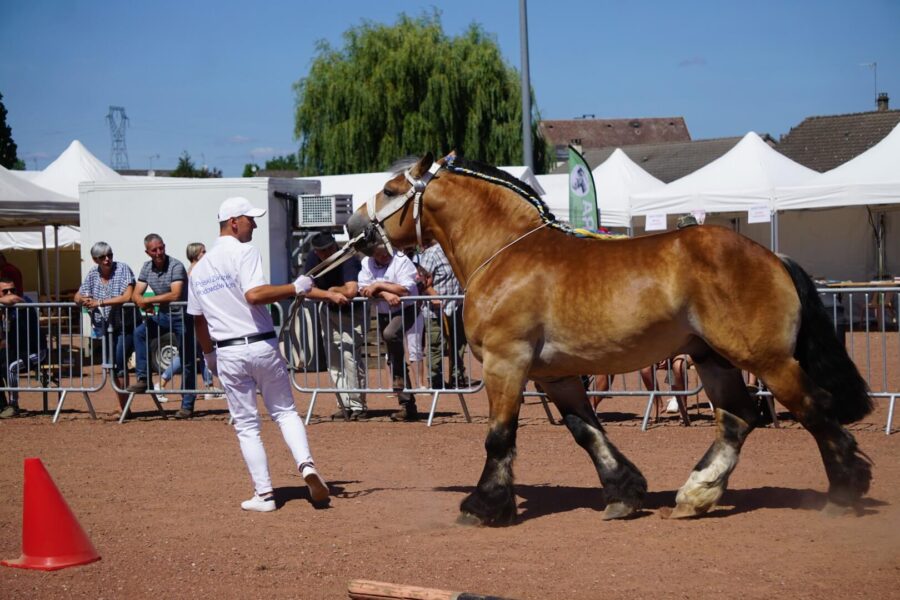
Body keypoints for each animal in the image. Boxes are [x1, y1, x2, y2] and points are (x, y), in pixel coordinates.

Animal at [346, 154, 872, 524]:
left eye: (391, 189)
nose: (352, 227)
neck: (506, 254)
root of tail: (773, 256)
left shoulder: (505, 363)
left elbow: (499, 437)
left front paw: (482, 506)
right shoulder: (554, 376)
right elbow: (587, 431)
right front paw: (624, 494)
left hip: (767, 360)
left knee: (813, 408)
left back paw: (844, 492)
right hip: (713, 357)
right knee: (739, 418)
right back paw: (696, 494)